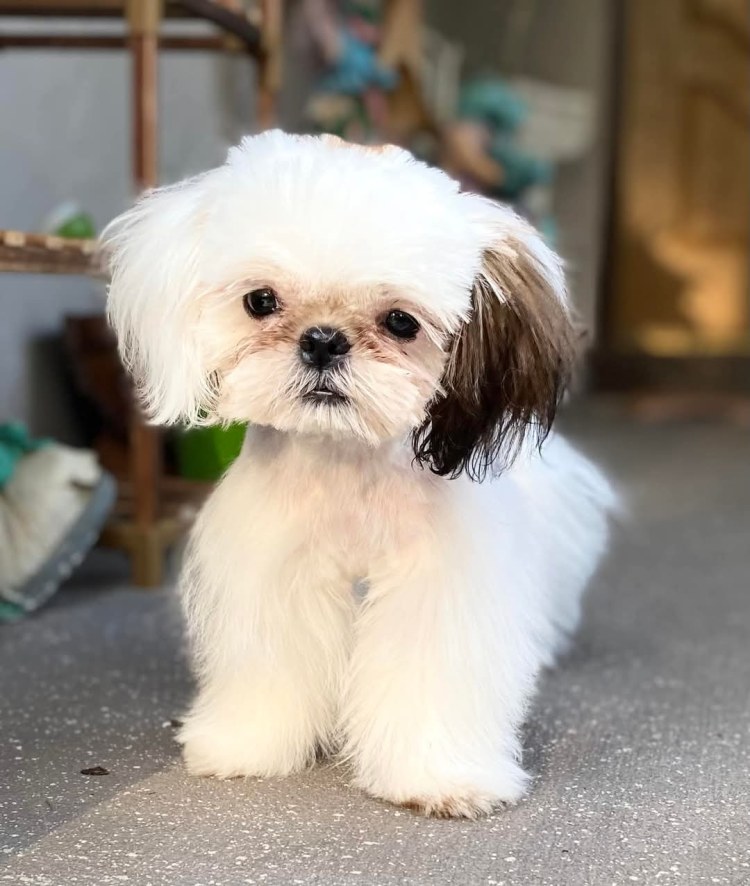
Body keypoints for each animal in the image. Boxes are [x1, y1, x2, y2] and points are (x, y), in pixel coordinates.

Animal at [103, 131, 615, 818]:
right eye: (260, 301)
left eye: (401, 321)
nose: (322, 340)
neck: (347, 464)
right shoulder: (275, 571)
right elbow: (273, 665)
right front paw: (250, 743)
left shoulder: (437, 587)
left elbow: (428, 675)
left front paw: (438, 775)